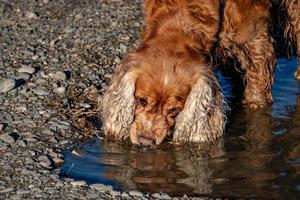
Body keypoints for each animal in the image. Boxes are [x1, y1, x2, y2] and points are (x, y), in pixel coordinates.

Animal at [102, 0, 300, 146]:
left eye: (174, 110)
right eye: (141, 100)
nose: (145, 141)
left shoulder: (254, 38)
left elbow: (256, 84)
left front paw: (255, 106)